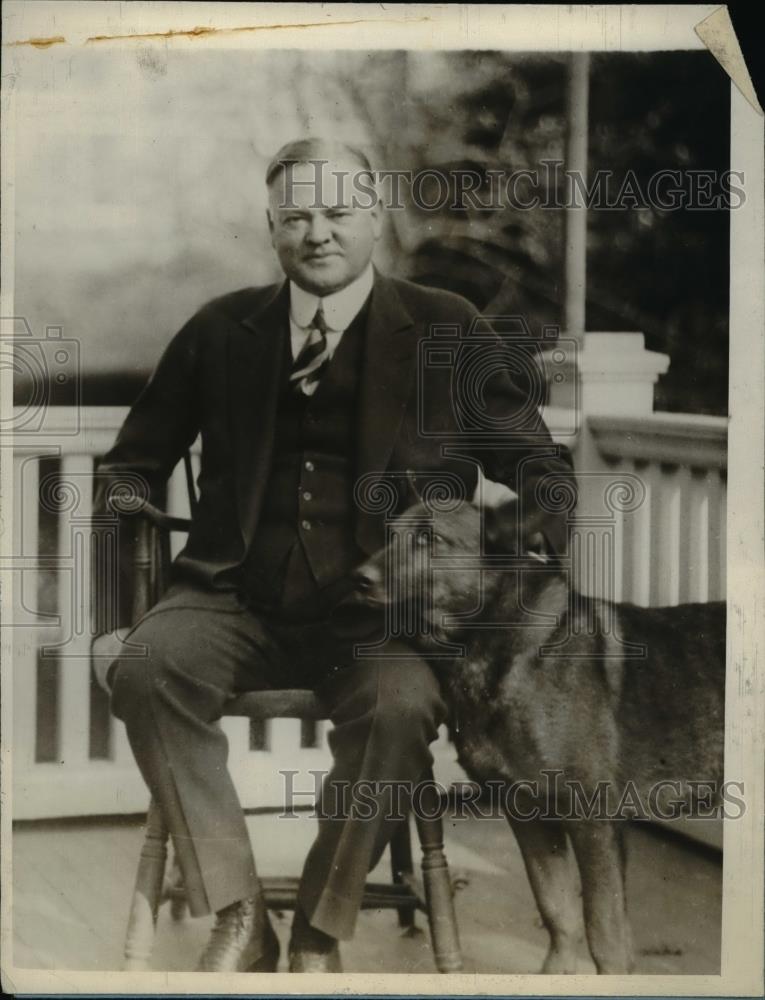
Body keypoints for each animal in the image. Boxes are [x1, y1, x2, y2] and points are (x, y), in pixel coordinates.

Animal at [352, 488, 724, 972]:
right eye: (390, 536)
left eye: (429, 539)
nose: (357, 579)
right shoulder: (529, 817)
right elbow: (558, 913)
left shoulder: (593, 824)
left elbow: (604, 933)